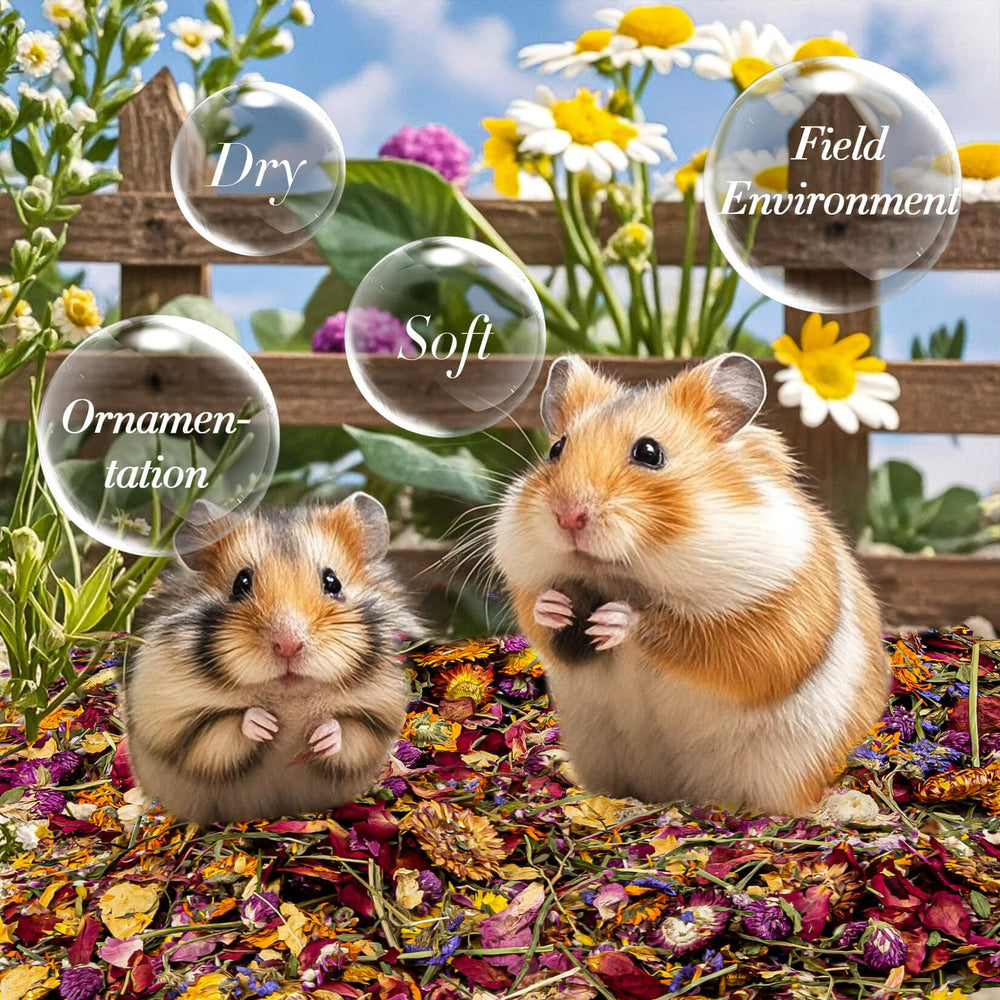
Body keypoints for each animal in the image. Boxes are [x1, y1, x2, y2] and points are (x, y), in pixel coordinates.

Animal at [124, 493, 417, 825]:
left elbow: (349, 731)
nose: (288, 645)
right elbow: (224, 726)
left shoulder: (376, 717)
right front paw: (265, 725)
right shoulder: (176, 722)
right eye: (241, 583)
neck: (288, 697)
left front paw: (320, 737)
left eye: (333, 582)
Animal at [493, 353, 888, 816]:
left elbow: (683, 635)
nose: (567, 515)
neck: (623, 574)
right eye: (556, 449)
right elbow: (544, 622)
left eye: (649, 452)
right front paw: (555, 606)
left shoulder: (765, 628)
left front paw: (614, 620)